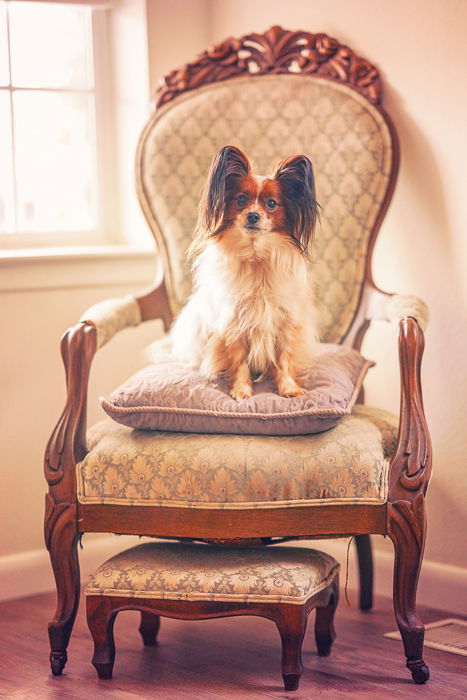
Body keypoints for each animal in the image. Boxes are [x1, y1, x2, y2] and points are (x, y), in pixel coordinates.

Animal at [170, 144, 320, 400]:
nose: (253, 215)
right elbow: (239, 360)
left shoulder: (284, 321)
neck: (256, 257)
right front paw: (241, 389)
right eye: (241, 200)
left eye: (271, 204)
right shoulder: (234, 323)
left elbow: (283, 359)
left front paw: (288, 387)